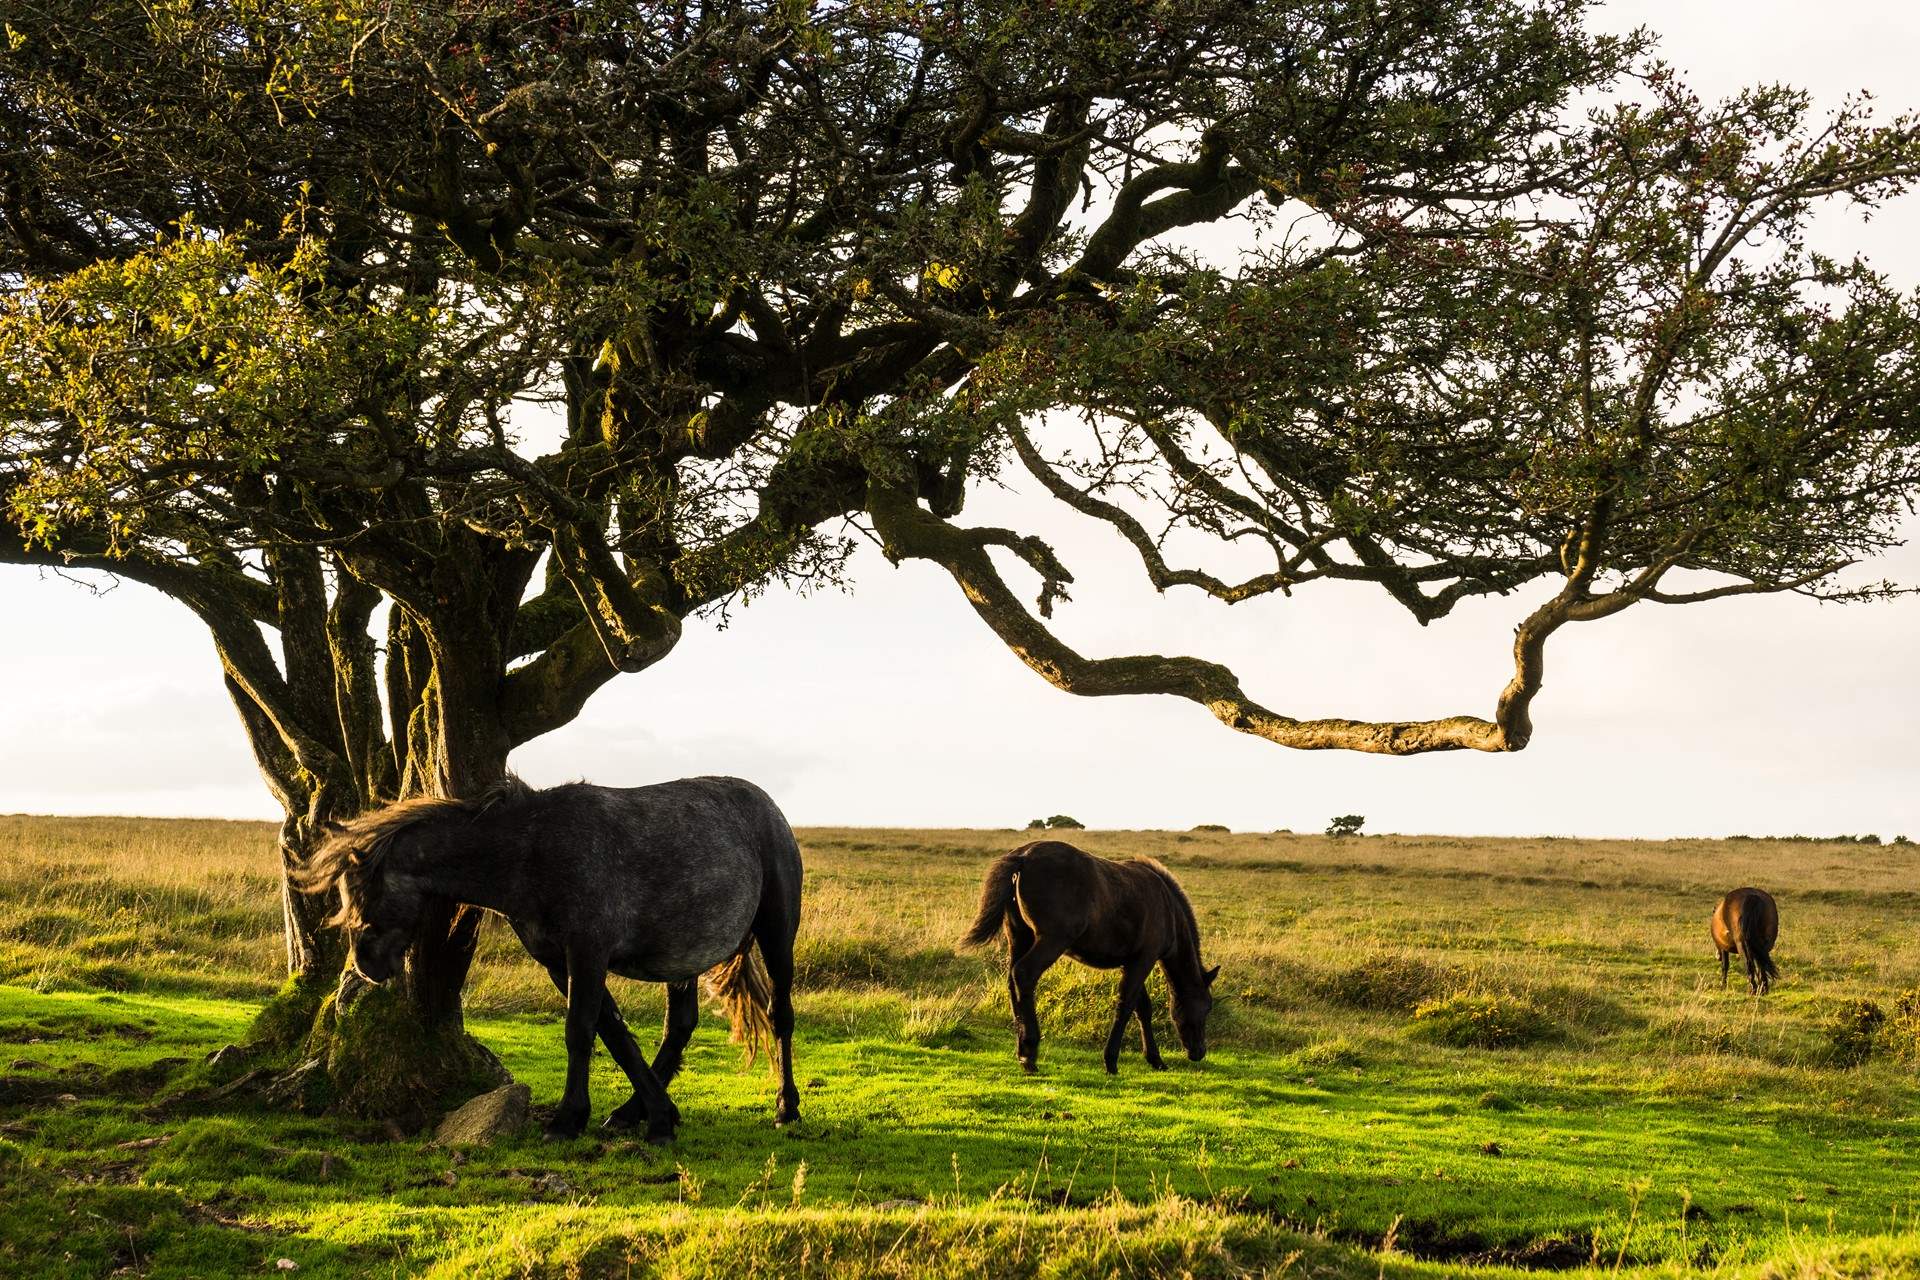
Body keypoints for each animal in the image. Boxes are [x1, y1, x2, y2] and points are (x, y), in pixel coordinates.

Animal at [296, 775, 803, 1142]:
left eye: (366, 895)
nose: (366, 966)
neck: (533, 851)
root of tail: (770, 808)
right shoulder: (559, 963)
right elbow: (613, 1033)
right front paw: (657, 1116)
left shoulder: (587, 953)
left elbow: (580, 1031)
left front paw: (567, 1120)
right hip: (681, 961)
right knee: (679, 1027)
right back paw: (632, 1111)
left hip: (777, 937)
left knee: (780, 1016)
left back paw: (786, 1107)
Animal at [963, 839, 1218, 1074]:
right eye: (1206, 1007)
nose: (1199, 1052)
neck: (1167, 907)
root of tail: (1023, 856)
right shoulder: (1143, 960)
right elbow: (1126, 1005)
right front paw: (1111, 1061)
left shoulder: (1131, 962)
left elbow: (1142, 1008)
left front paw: (1155, 1059)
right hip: (1052, 941)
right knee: (1024, 974)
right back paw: (1030, 1053)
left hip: (1019, 938)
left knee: (1012, 982)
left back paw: (1021, 1052)